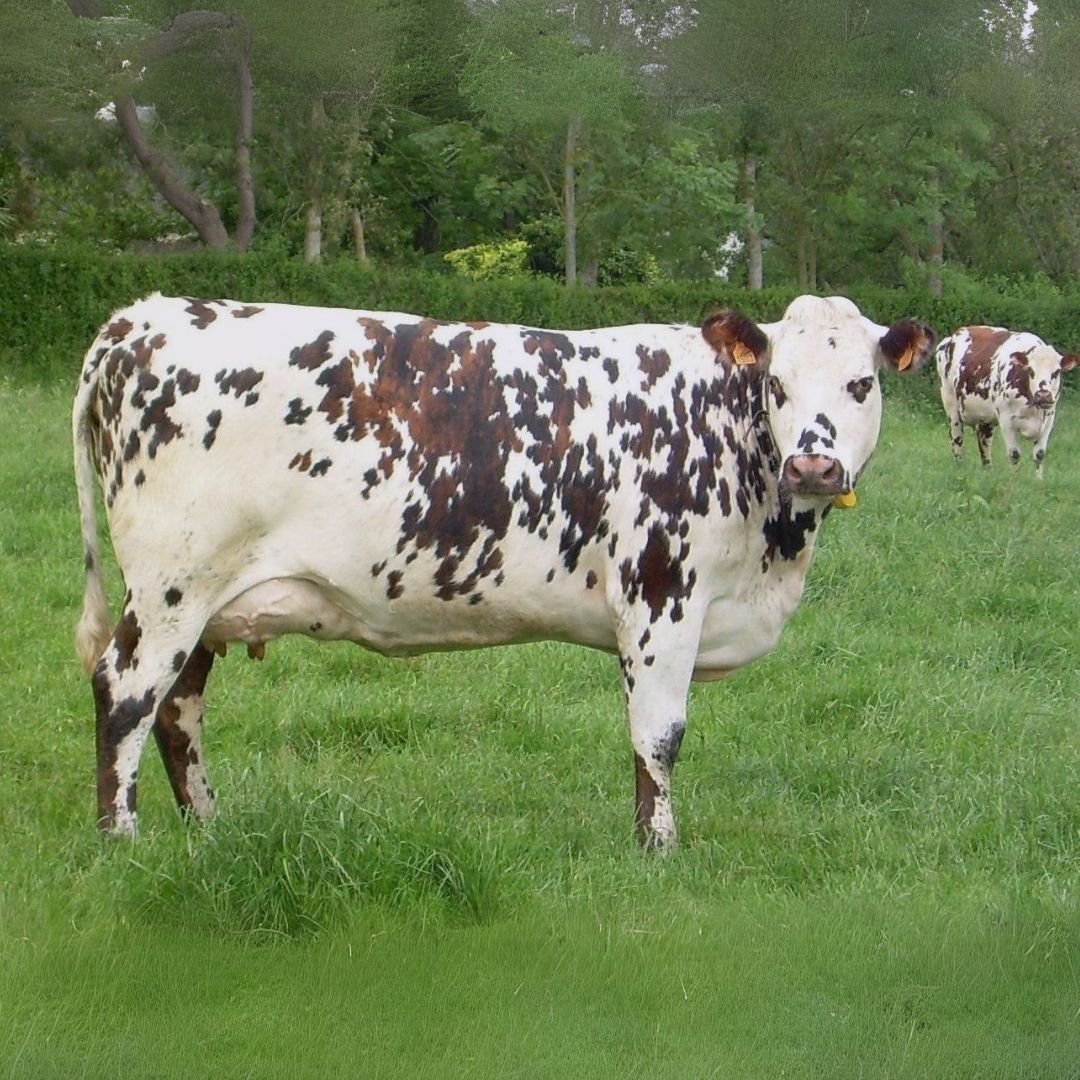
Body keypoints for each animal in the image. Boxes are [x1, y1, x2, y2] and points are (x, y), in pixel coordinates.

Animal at [73, 294, 934, 848]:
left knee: (178, 709)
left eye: (862, 384)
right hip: (172, 587)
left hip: (203, 602)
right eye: (777, 384)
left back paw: (207, 831)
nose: (814, 462)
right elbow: (658, 736)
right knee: (126, 694)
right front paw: (659, 851)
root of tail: (140, 317)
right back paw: (123, 843)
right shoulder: (662, 597)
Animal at [936, 326, 1078, 477]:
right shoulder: (1006, 419)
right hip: (951, 406)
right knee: (957, 439)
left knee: (984, 442)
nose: (1043, 395)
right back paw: (960, 469)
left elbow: (1039, 454)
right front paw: (1014, 479)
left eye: (1056, 372)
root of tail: (954, 335)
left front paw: (1039, 480)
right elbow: (1014, 454)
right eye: (1031, 371)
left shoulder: (1049, 418)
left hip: (985, 417)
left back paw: (988, 471)